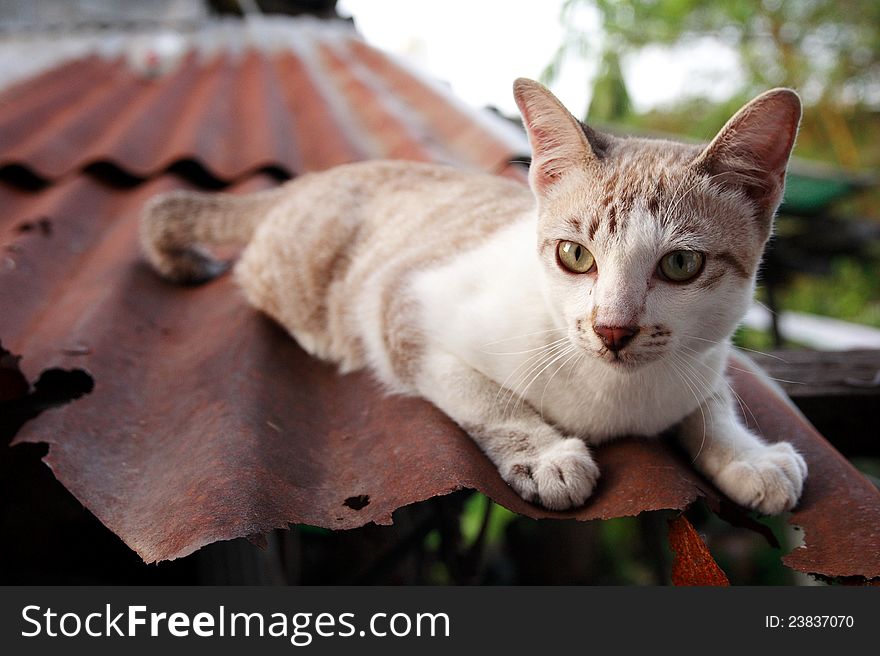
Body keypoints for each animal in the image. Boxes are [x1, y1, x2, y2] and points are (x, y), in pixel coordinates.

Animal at [141, 79, 808, 516]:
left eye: (680, 264)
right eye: (575, 255)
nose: (612, 329)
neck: (616, 397)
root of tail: (309, 178)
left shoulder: (702, 359)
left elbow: (712, 405)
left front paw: (749, 458)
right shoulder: (401, 302)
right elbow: (482, 394)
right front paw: (545, 455)